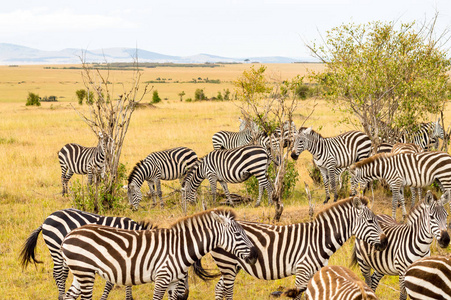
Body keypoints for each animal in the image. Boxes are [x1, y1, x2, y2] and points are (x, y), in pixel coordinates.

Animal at [19, 209, 154, 300]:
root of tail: (46, 220)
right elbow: (112, 283)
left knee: (61, 274)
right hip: (55, 247)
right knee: (57, 274)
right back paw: (61, 295)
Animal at [60, 209, 258, 300]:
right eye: (238, 234)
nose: (255, 254)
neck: (178, 247)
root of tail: (69, 235)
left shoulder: (172, 282)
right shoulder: (162, 277)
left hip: (80, 273)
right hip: (85, 272)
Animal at [194, 196, 388, 298]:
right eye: (370, 221)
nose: (385, 242)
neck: (319, 239)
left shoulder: (316, 273)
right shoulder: (302, 271)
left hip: (232, 266)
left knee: (219, 287)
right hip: (227, 264)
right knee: (226, 289)